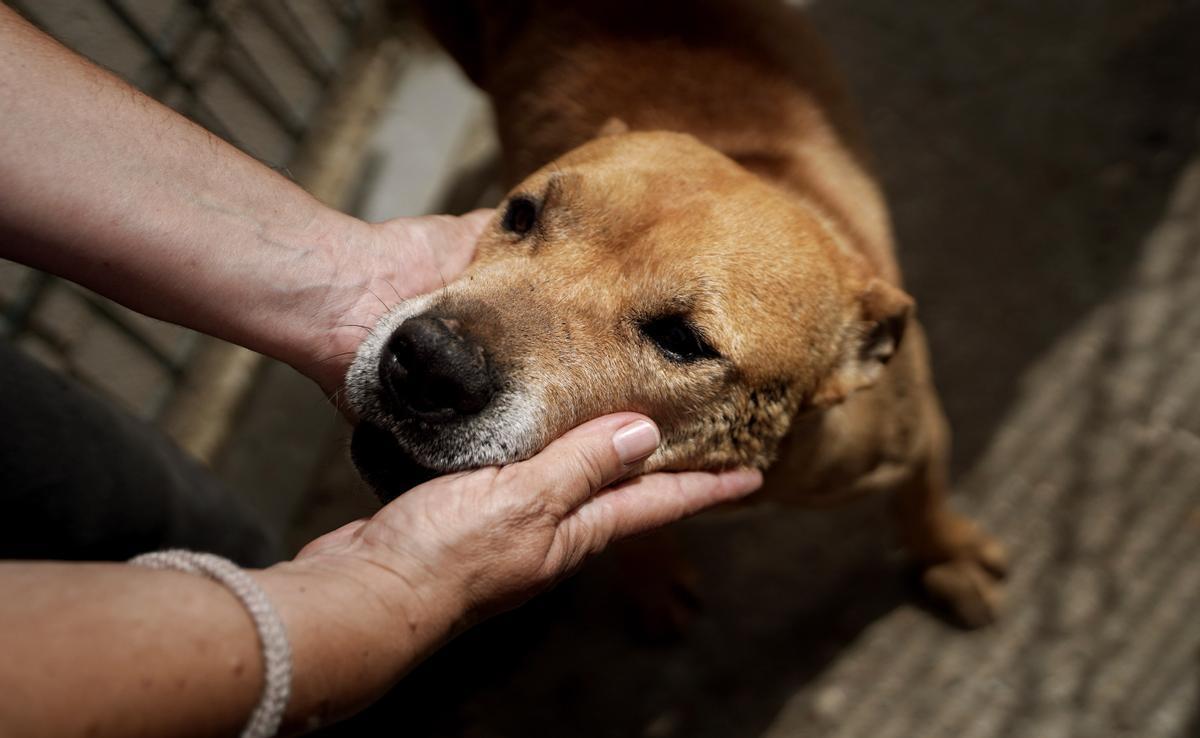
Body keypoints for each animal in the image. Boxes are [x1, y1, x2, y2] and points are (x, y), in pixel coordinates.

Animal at [345, 0, 1003, 628]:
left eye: (682, 340)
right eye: (522, 214)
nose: (431, 362)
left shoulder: (913, 431)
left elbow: (924, 497)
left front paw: (950, 555)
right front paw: (652, 579)